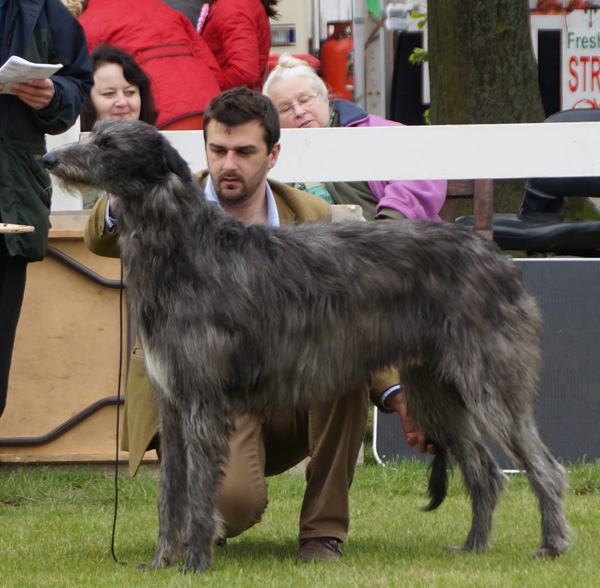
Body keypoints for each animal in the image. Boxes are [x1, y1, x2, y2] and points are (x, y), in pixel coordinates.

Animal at [42, 119, 568, 576]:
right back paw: (474, 546)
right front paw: (160, 562)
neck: (185, 248)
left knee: (545, 466)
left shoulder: (203, 403)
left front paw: (195, 565)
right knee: (485, 471)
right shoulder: (171, 403)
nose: (48, 158)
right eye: (93, 131)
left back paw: (552, 544)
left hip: (490, 383)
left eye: (108, 143)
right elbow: (170, 494)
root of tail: (495, 255)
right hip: (435, 390)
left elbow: (199, 494)